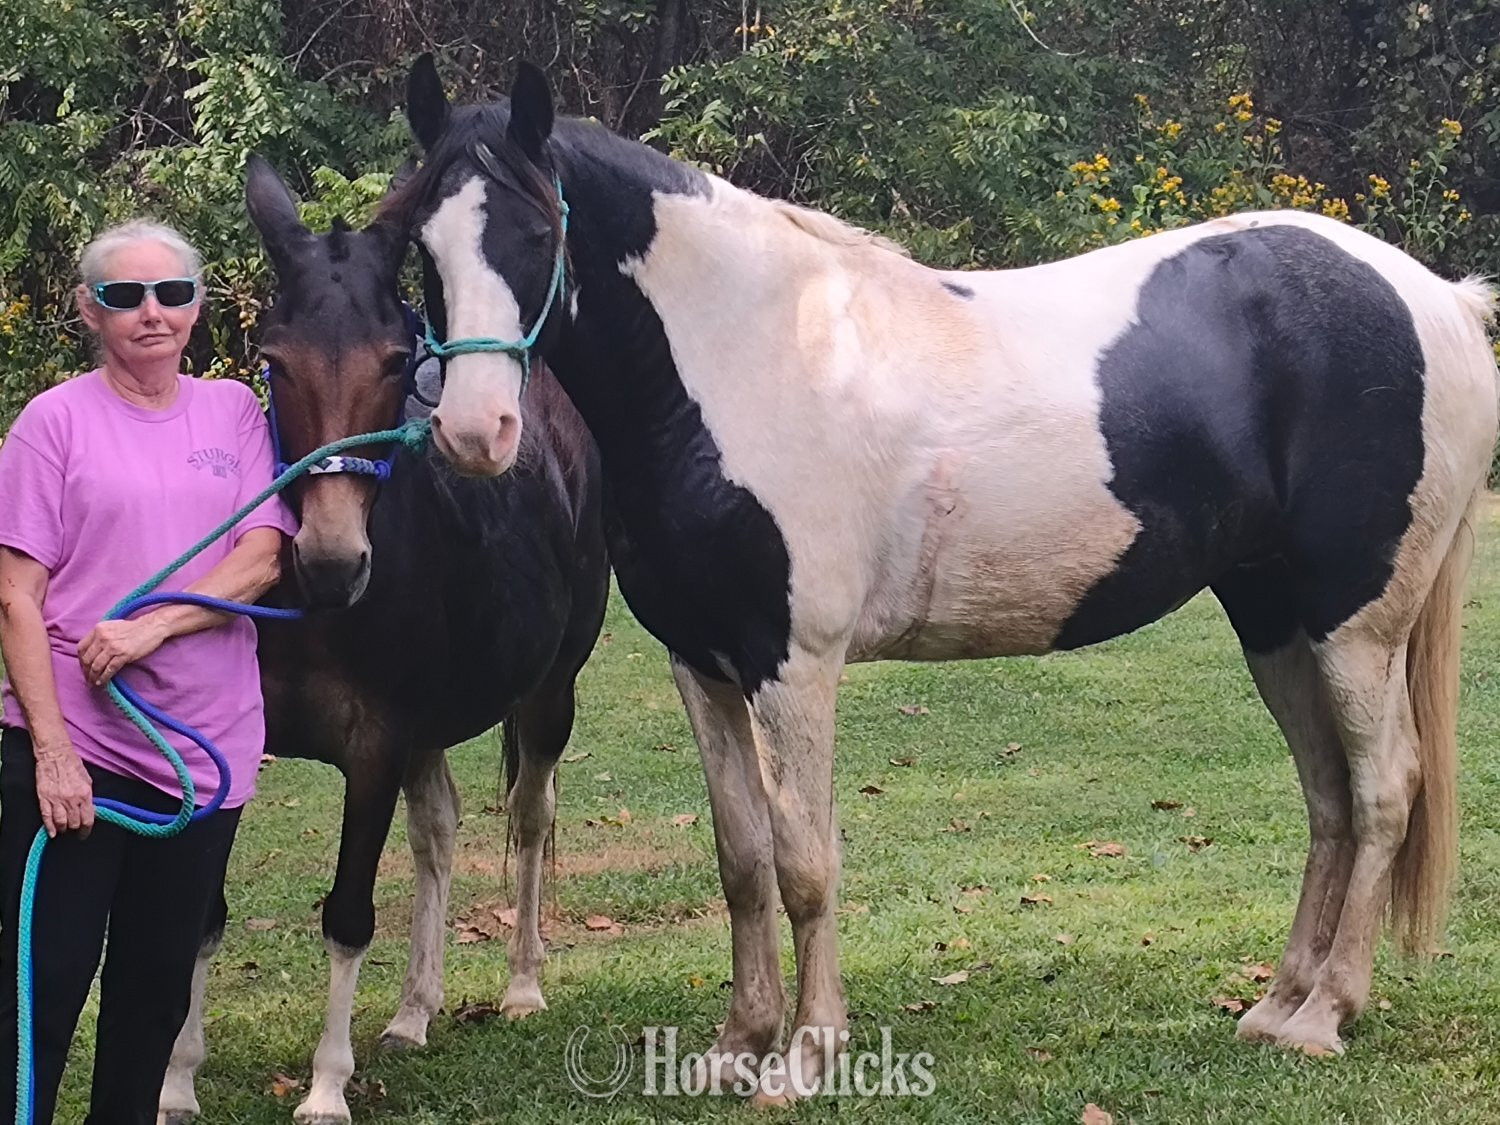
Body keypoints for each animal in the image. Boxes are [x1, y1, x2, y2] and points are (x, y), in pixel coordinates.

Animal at [155, 156, 609, 1125]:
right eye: (272, 359)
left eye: (397, 360)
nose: (332, 561)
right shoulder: (242, 742)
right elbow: (202, 916)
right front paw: (176, 1078)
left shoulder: (374, 745)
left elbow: (348, 914)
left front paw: (328, 1084)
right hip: (431, 728)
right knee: (438, 827)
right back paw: (411, 1010)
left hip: (548, 692)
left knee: (531, 815)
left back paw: (521, 985)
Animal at [391, 56, 1499, 1097]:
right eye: (421, 246)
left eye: (537, 234)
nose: (476, 431)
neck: (744, 354)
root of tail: (1440, 300)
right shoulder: (701, 666)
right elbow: (742, 859)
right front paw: (736, 1047)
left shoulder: (795, 667)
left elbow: (806, 864)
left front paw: (805, 1059)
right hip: (1275, 620)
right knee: (1329, 795)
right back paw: (1278, 1006)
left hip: (1356, 627)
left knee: (1384, 789)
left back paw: (1326, 1015)